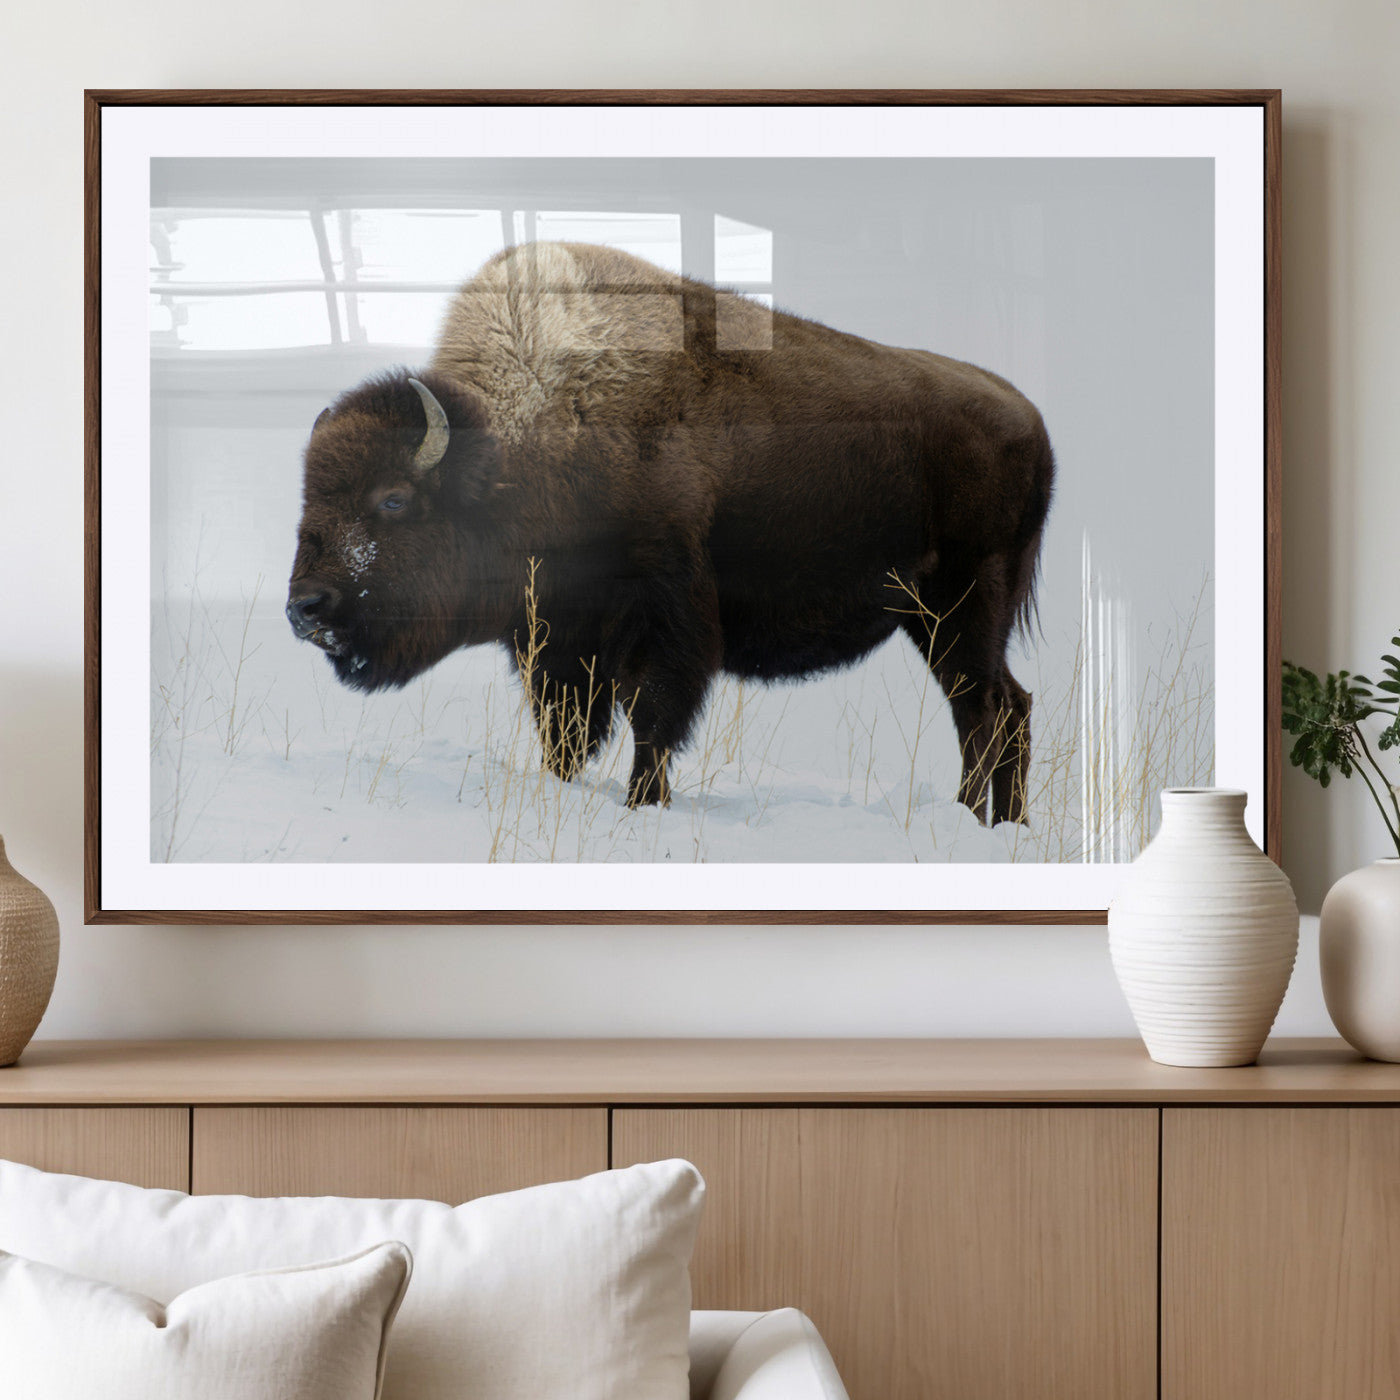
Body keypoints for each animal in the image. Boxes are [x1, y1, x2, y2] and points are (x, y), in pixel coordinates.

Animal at [287, 241, 1053, 822]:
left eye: (393, 500)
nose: (305, 608)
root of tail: (1030, 417)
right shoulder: (556, 641)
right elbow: (565, 733)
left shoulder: (663, 624)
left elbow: (653, 721)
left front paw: (642, 805)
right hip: (933, 618)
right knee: (1004, 707)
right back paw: (1001, 824)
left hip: (964, 604)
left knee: (983, 710)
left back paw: (973, 819)